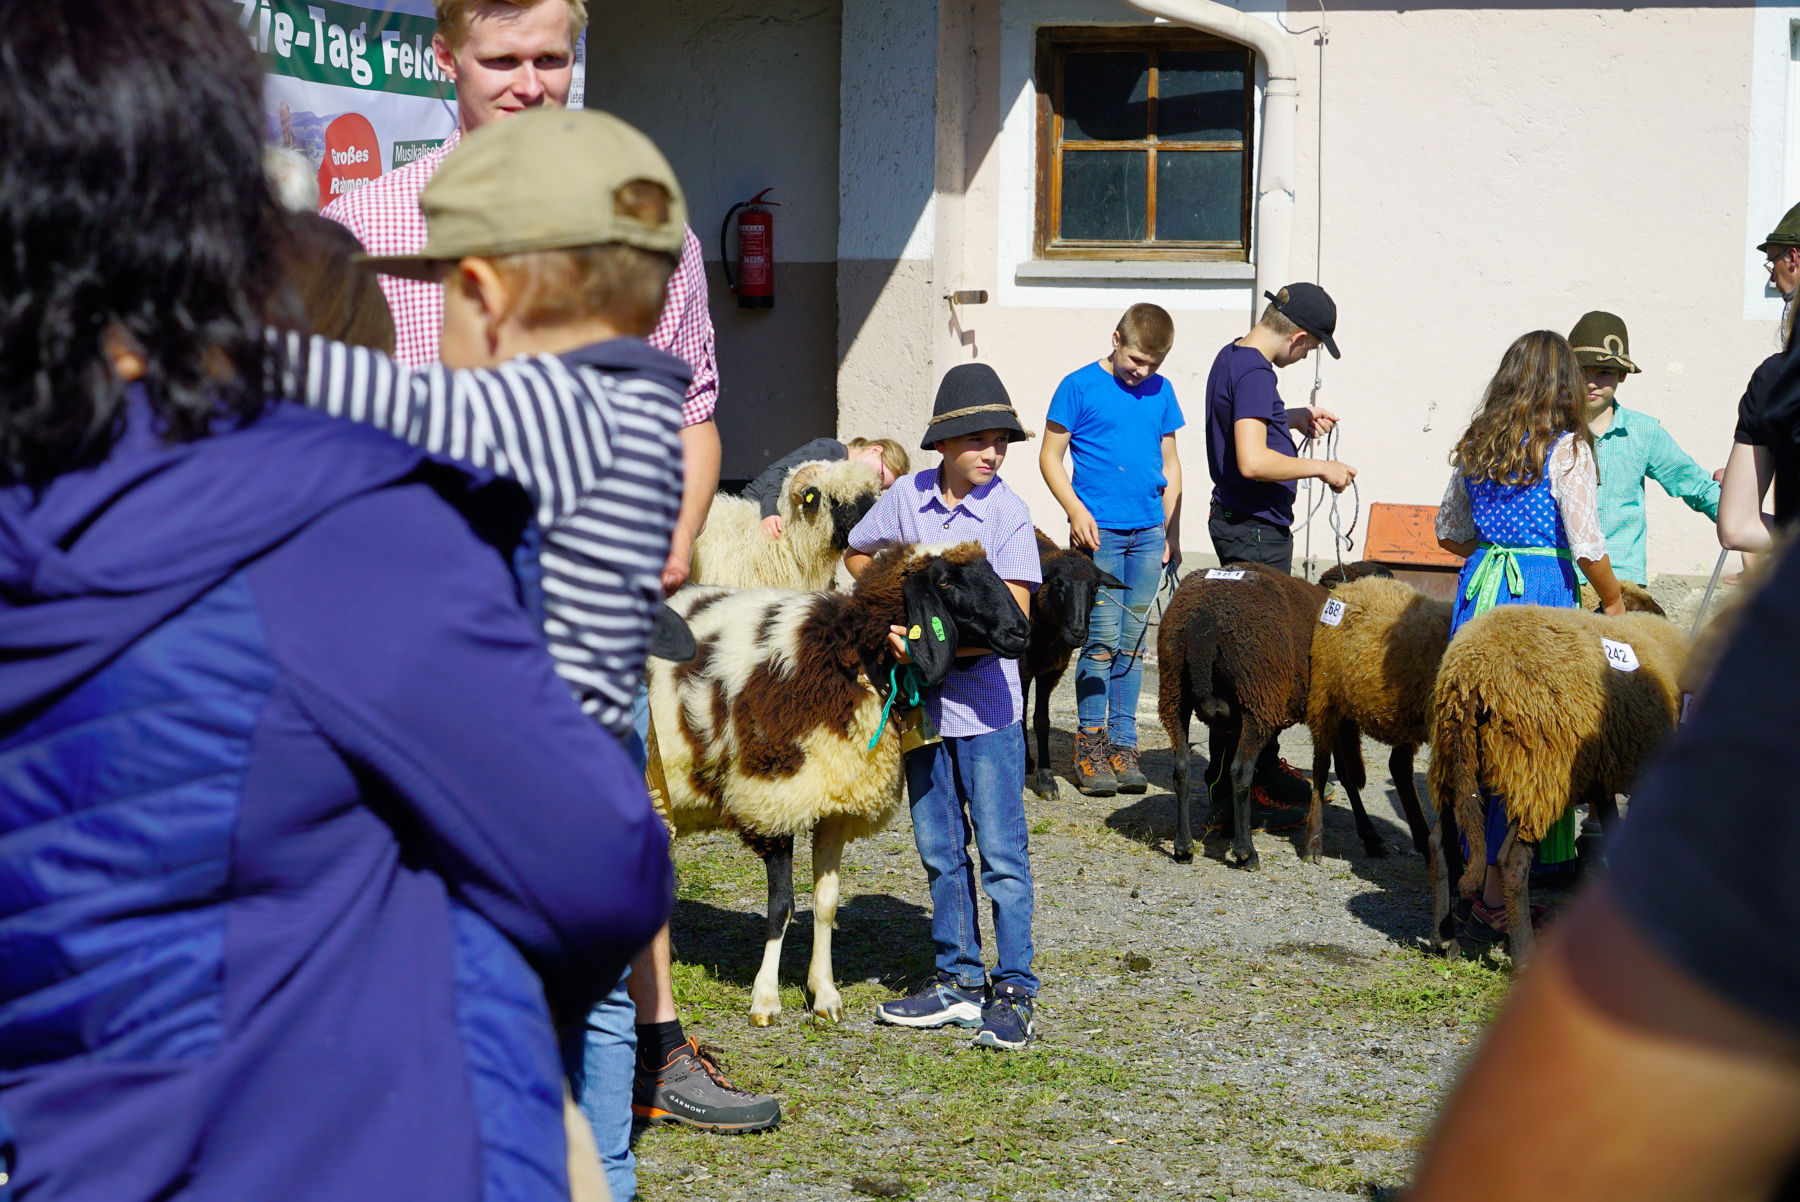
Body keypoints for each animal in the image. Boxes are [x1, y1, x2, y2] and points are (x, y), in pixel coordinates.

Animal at [648, 543, 1029, 1022]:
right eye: (944, 582)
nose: (1021, 630)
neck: (845, 656)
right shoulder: (773, 799)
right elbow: (781, 905)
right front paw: (766, 998)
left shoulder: (832, 802)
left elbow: (825, 905)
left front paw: (825, 994)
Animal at [1022, 532, 1116, 798]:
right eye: (1058, 583)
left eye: (1095, 587)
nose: (1078, 633)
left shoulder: (1051, 669)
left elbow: (1041, 721)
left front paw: (1044, 776)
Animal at [1425, 604, 1692, 964]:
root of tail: (1471, 673)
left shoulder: (1603, 776)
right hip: (1537, 773)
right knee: (1511, 863)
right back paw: (1524, 955)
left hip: (1456, 762)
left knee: (1440, 841)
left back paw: (1445, 941)